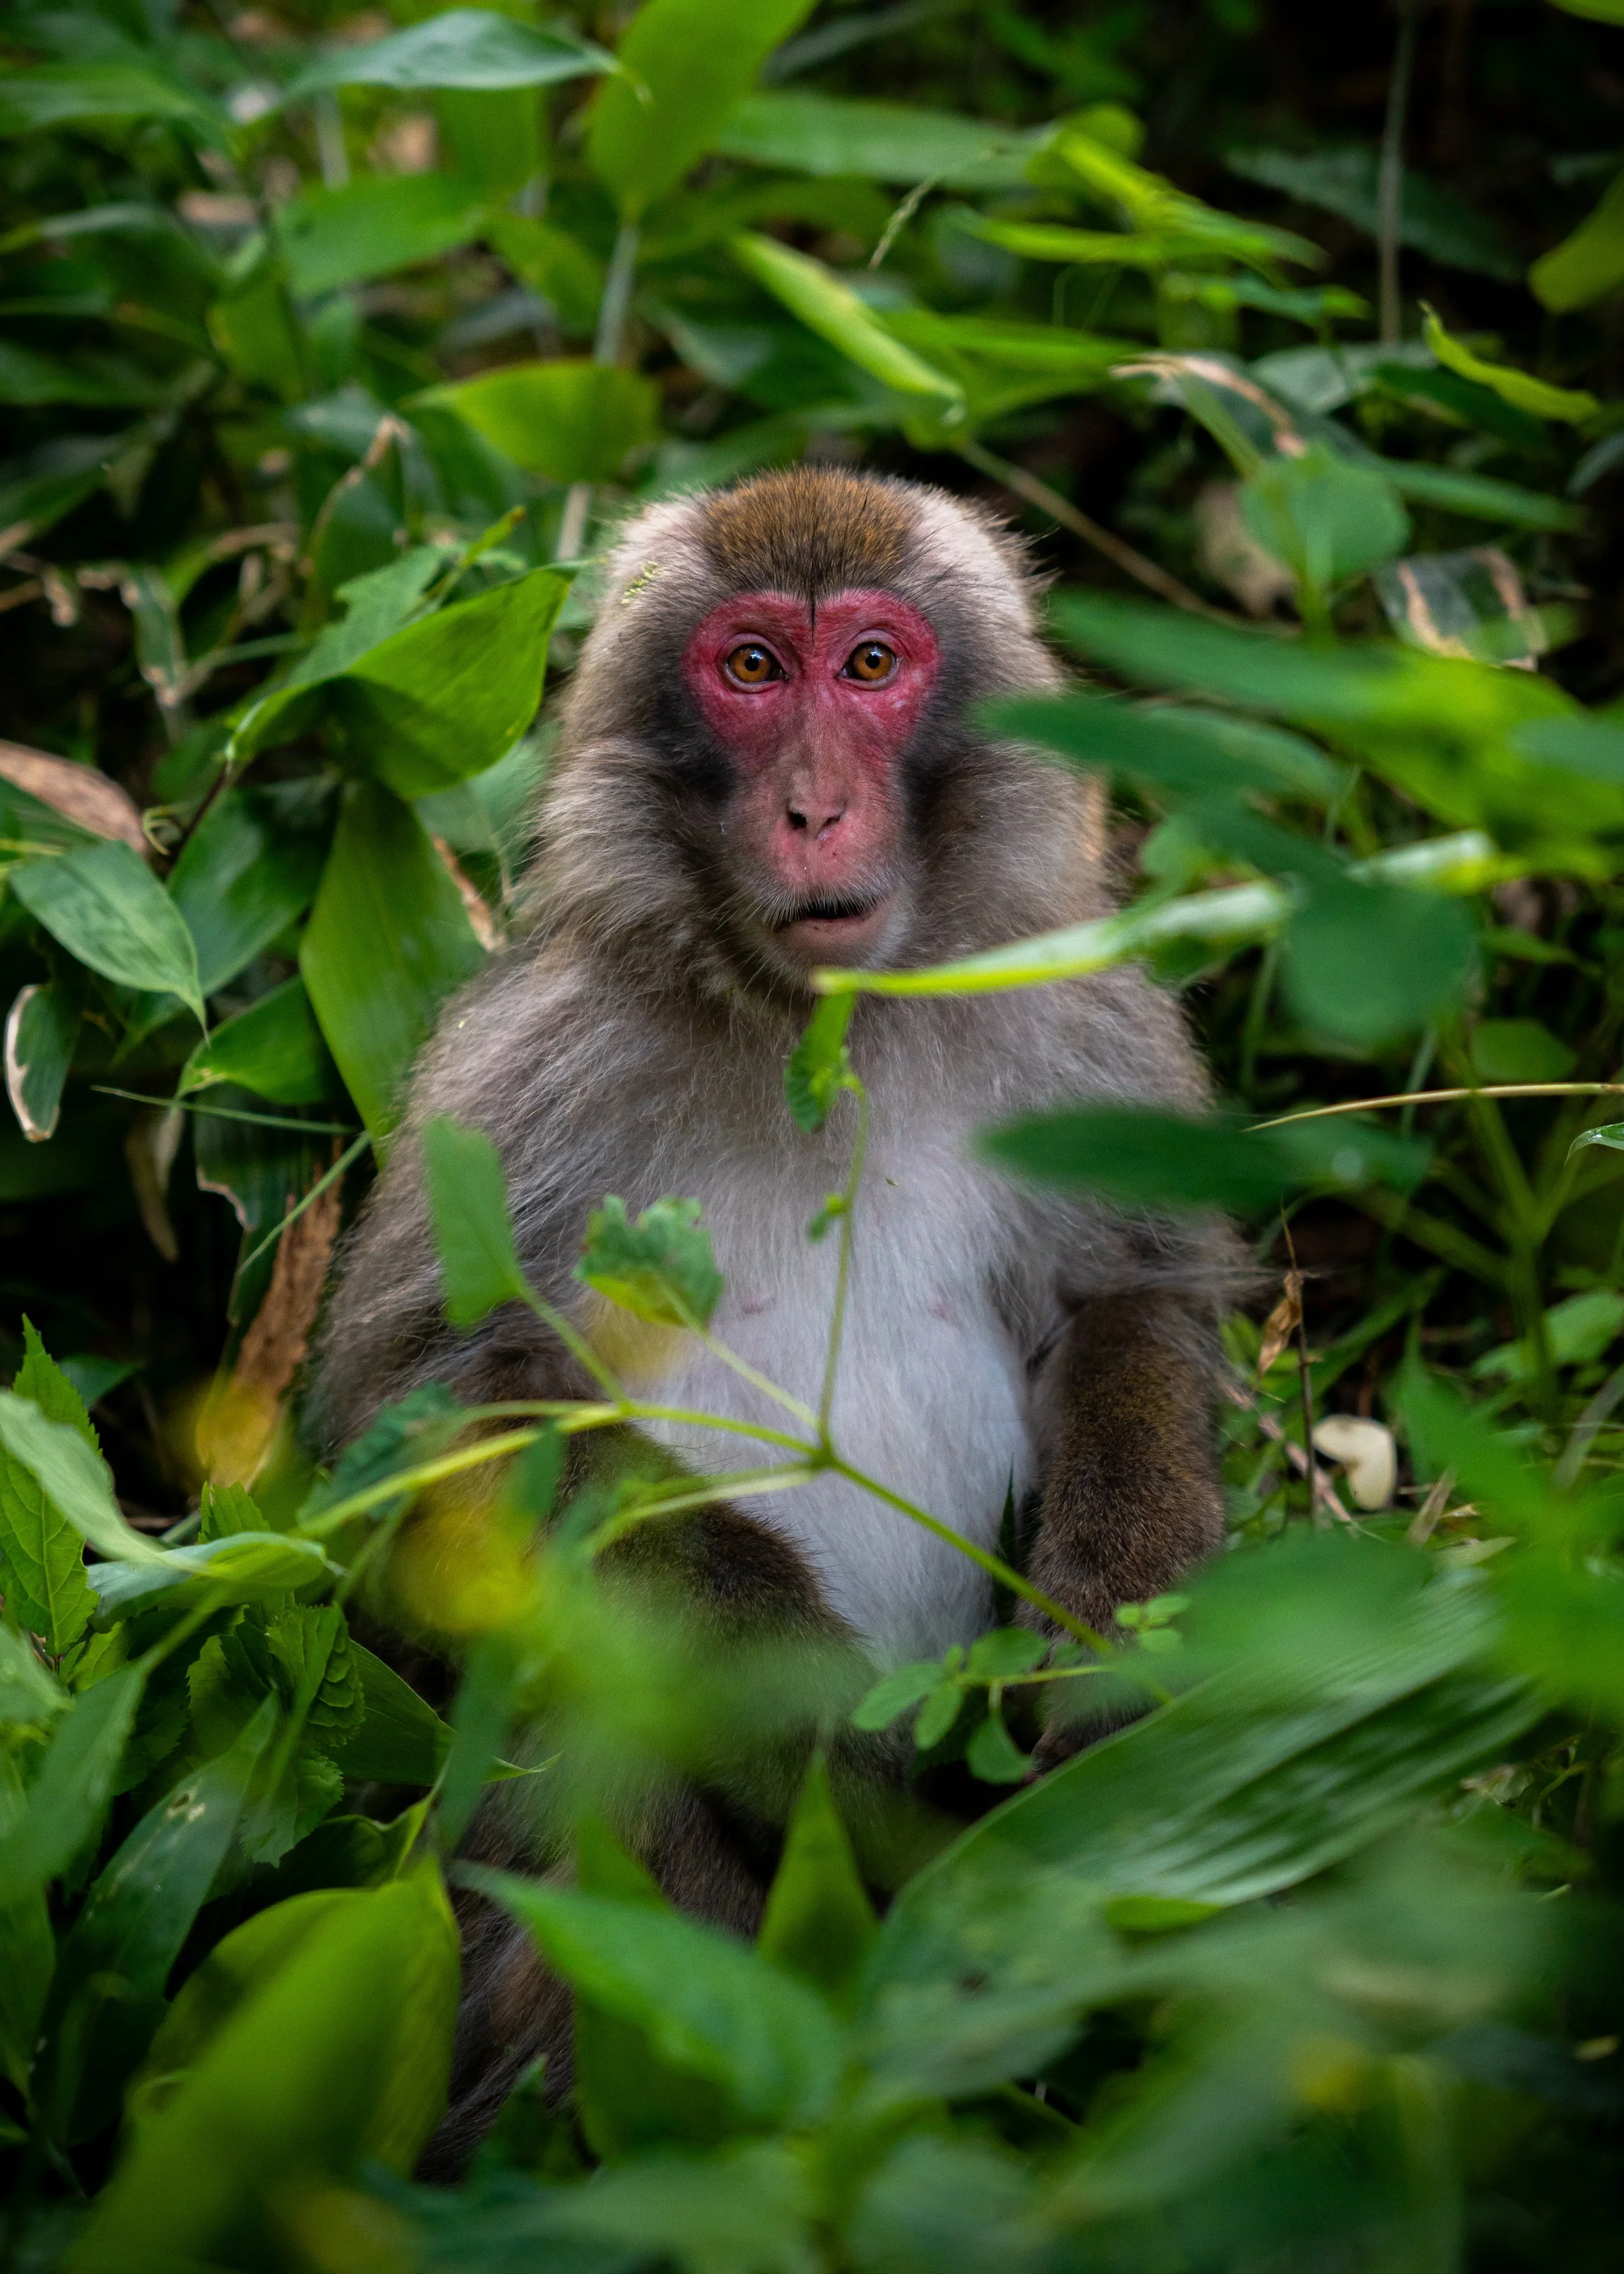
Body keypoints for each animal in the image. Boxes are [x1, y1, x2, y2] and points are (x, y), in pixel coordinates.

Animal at [312, 465, 1232, 2165]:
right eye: (750, 669)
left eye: (868, 666)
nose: (813, 808)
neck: (820, 1030)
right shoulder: (529, 1074)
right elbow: (438, 1418)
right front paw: (823, 1738)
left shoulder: (1082, 1021)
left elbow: (1126, 1303)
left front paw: (1104, 1628)